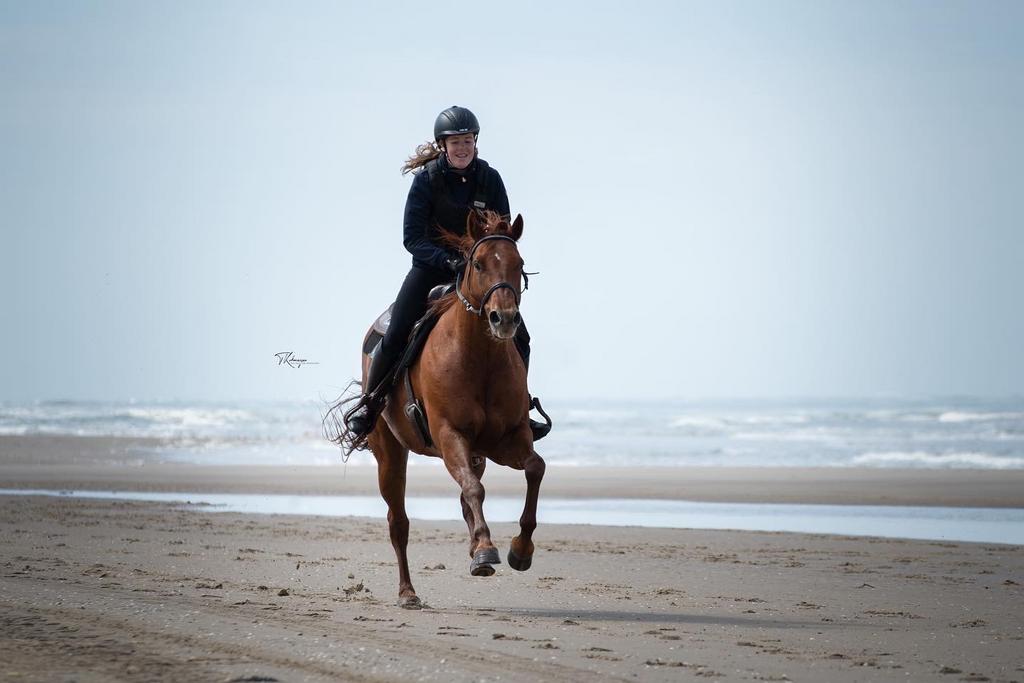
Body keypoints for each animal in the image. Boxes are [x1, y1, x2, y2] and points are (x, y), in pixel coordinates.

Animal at [346, 210, 545, 609]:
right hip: (390, 454)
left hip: (478, 454)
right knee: (399, 522)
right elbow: (473, 489)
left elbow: (534, 468)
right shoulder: (450, 435)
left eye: (519, 264)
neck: (480, 358)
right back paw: (408, 592)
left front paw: (520, 550)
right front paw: (485, 550)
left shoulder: (507, 439)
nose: (504, 318)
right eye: (478, 263)